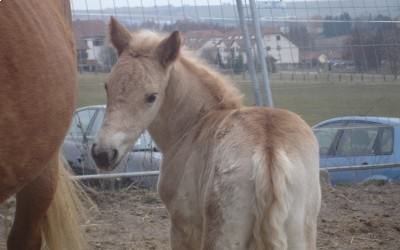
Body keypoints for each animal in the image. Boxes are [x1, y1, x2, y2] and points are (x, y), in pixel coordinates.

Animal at [92, 16, 320, 249]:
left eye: (151, 96)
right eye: (107, 86)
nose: (103, 154)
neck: (193, 124)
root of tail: (268, 150)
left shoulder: (183, 225)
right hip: (301, 235)